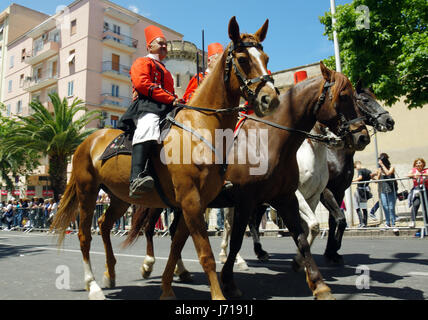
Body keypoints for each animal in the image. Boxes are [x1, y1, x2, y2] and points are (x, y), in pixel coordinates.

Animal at [50, 15, 280, 300]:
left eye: (266, 57)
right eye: (243, 59)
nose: (270, 99)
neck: (201, 126)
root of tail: (87, 141)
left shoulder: (195, 202)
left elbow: (176, 245)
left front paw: (167, 287)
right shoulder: (191, 201)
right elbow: (205, 254)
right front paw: (218, 295)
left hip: (120, 197)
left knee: (103, 224)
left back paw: (110, 273)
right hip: (88, 192)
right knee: (85, 234)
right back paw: (92, 284)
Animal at [124, 62, 372, 300]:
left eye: (358, 98)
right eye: (344, 96)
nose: (362, 137)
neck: (271, 139)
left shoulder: (290, 197)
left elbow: (304, 233)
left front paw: (315, 279)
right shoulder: (249, 199)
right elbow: (237, 239)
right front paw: (228, 280)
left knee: (177, 232)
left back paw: (181, 271)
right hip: (165, 201)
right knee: (150, 228)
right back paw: (149, 265)